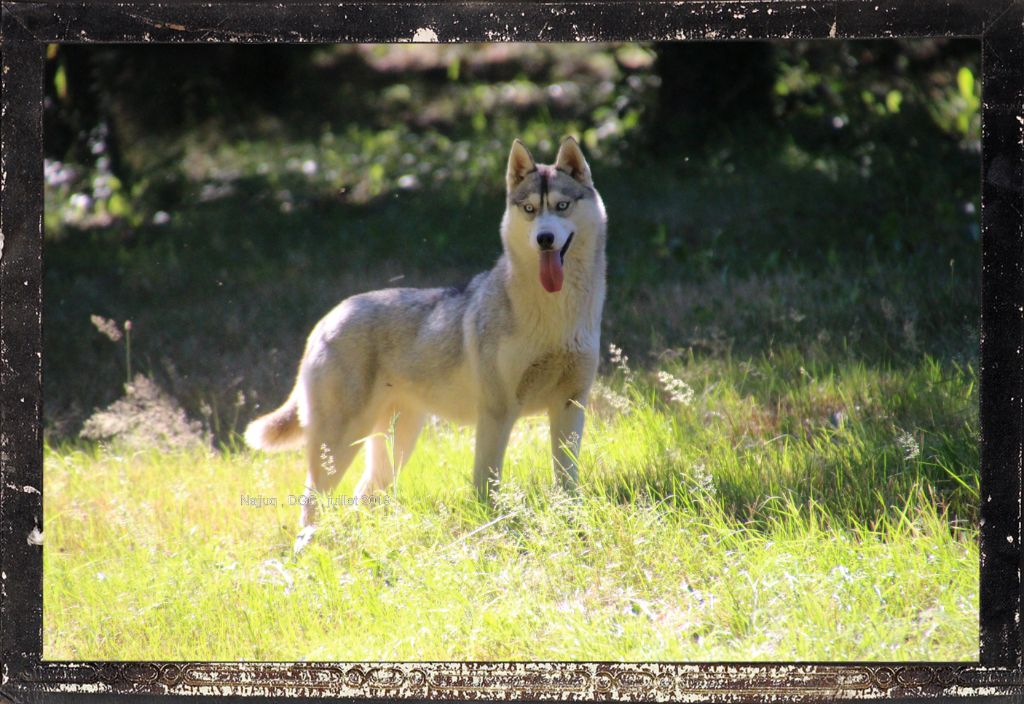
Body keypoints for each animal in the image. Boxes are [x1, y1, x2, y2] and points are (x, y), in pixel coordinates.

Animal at [242, 137, 602, 523]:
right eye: (530, 209)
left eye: (562, 206)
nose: (545, 239)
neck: (555, 314)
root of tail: (327, 319)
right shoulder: (497, 412)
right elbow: (486, 484)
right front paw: (490, 524)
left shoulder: (569, 404)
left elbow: (567, 477)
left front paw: (572, 517)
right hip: (339, 444)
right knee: (312, 503)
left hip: (394, 445)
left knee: (360, 496)